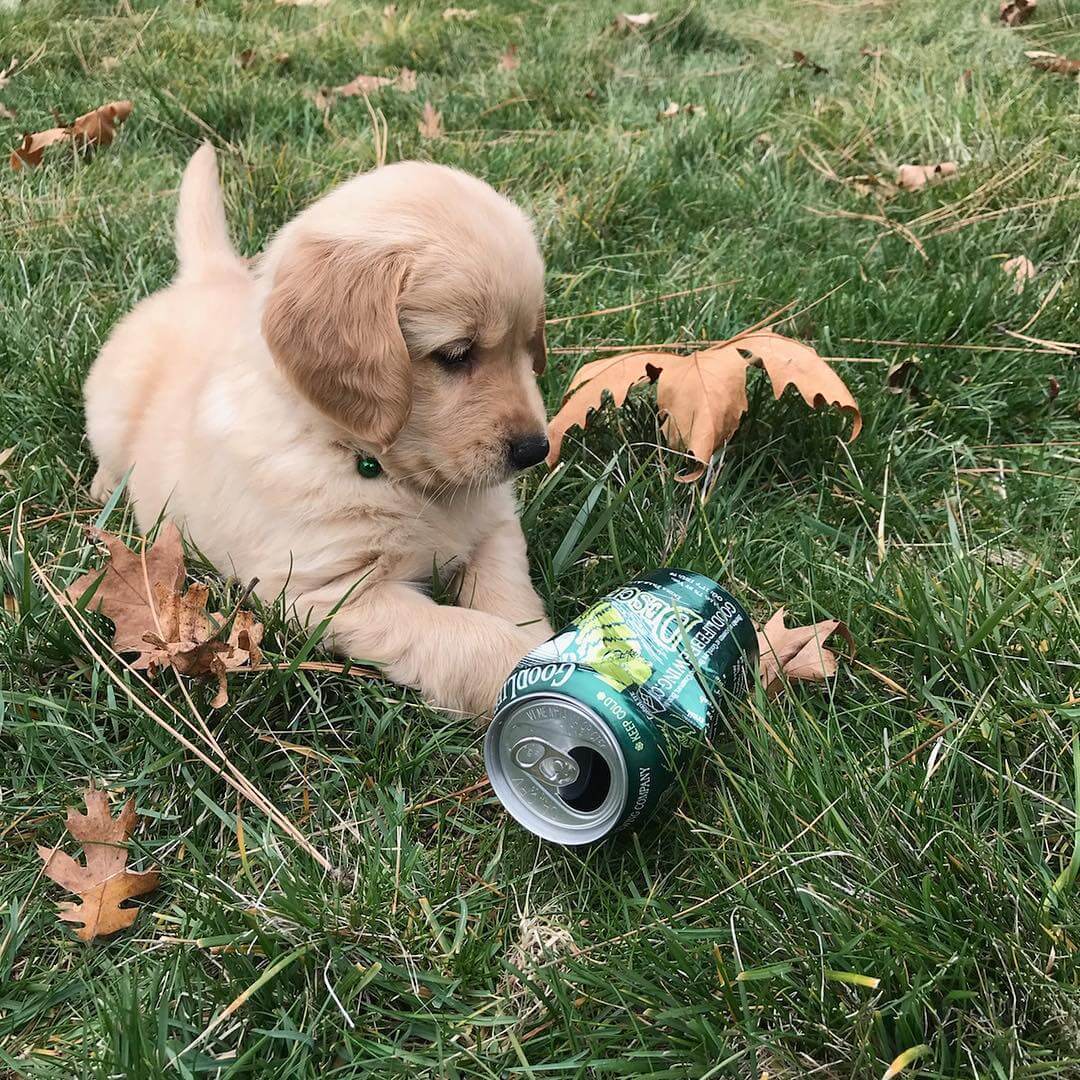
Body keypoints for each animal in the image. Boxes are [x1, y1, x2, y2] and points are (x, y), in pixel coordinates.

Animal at [83, 143, 552, 717]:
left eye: (528, 346)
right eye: (455, 354)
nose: (535, 450)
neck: (374, 463)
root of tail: (207, 277)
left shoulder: (495, 528)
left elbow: (509, 593)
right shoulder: (329, 592)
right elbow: (464, 637)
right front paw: (534, 669)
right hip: (110, 407)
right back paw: (107, 487)